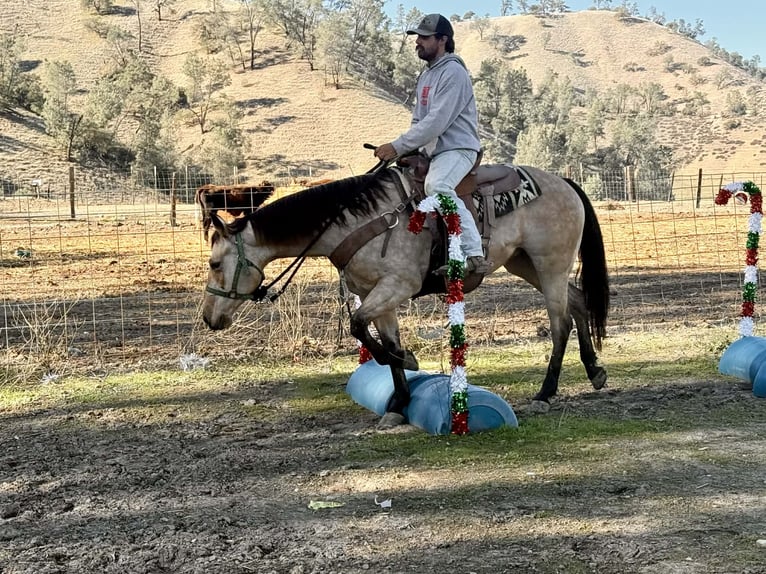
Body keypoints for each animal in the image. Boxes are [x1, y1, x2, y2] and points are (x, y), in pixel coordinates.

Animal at [199, 164, 609, 428]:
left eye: (215, 262)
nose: (208, 317)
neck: (355, 220)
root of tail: (564, 183)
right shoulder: (377, 293)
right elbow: (381, 338)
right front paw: (399, 402)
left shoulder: (398, 285)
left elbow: (359, 327)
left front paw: (408, 361)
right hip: (524, 263)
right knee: (577, 301)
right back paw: (595, 371)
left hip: (550, 264)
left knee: (560, 323)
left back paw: (545, 392)